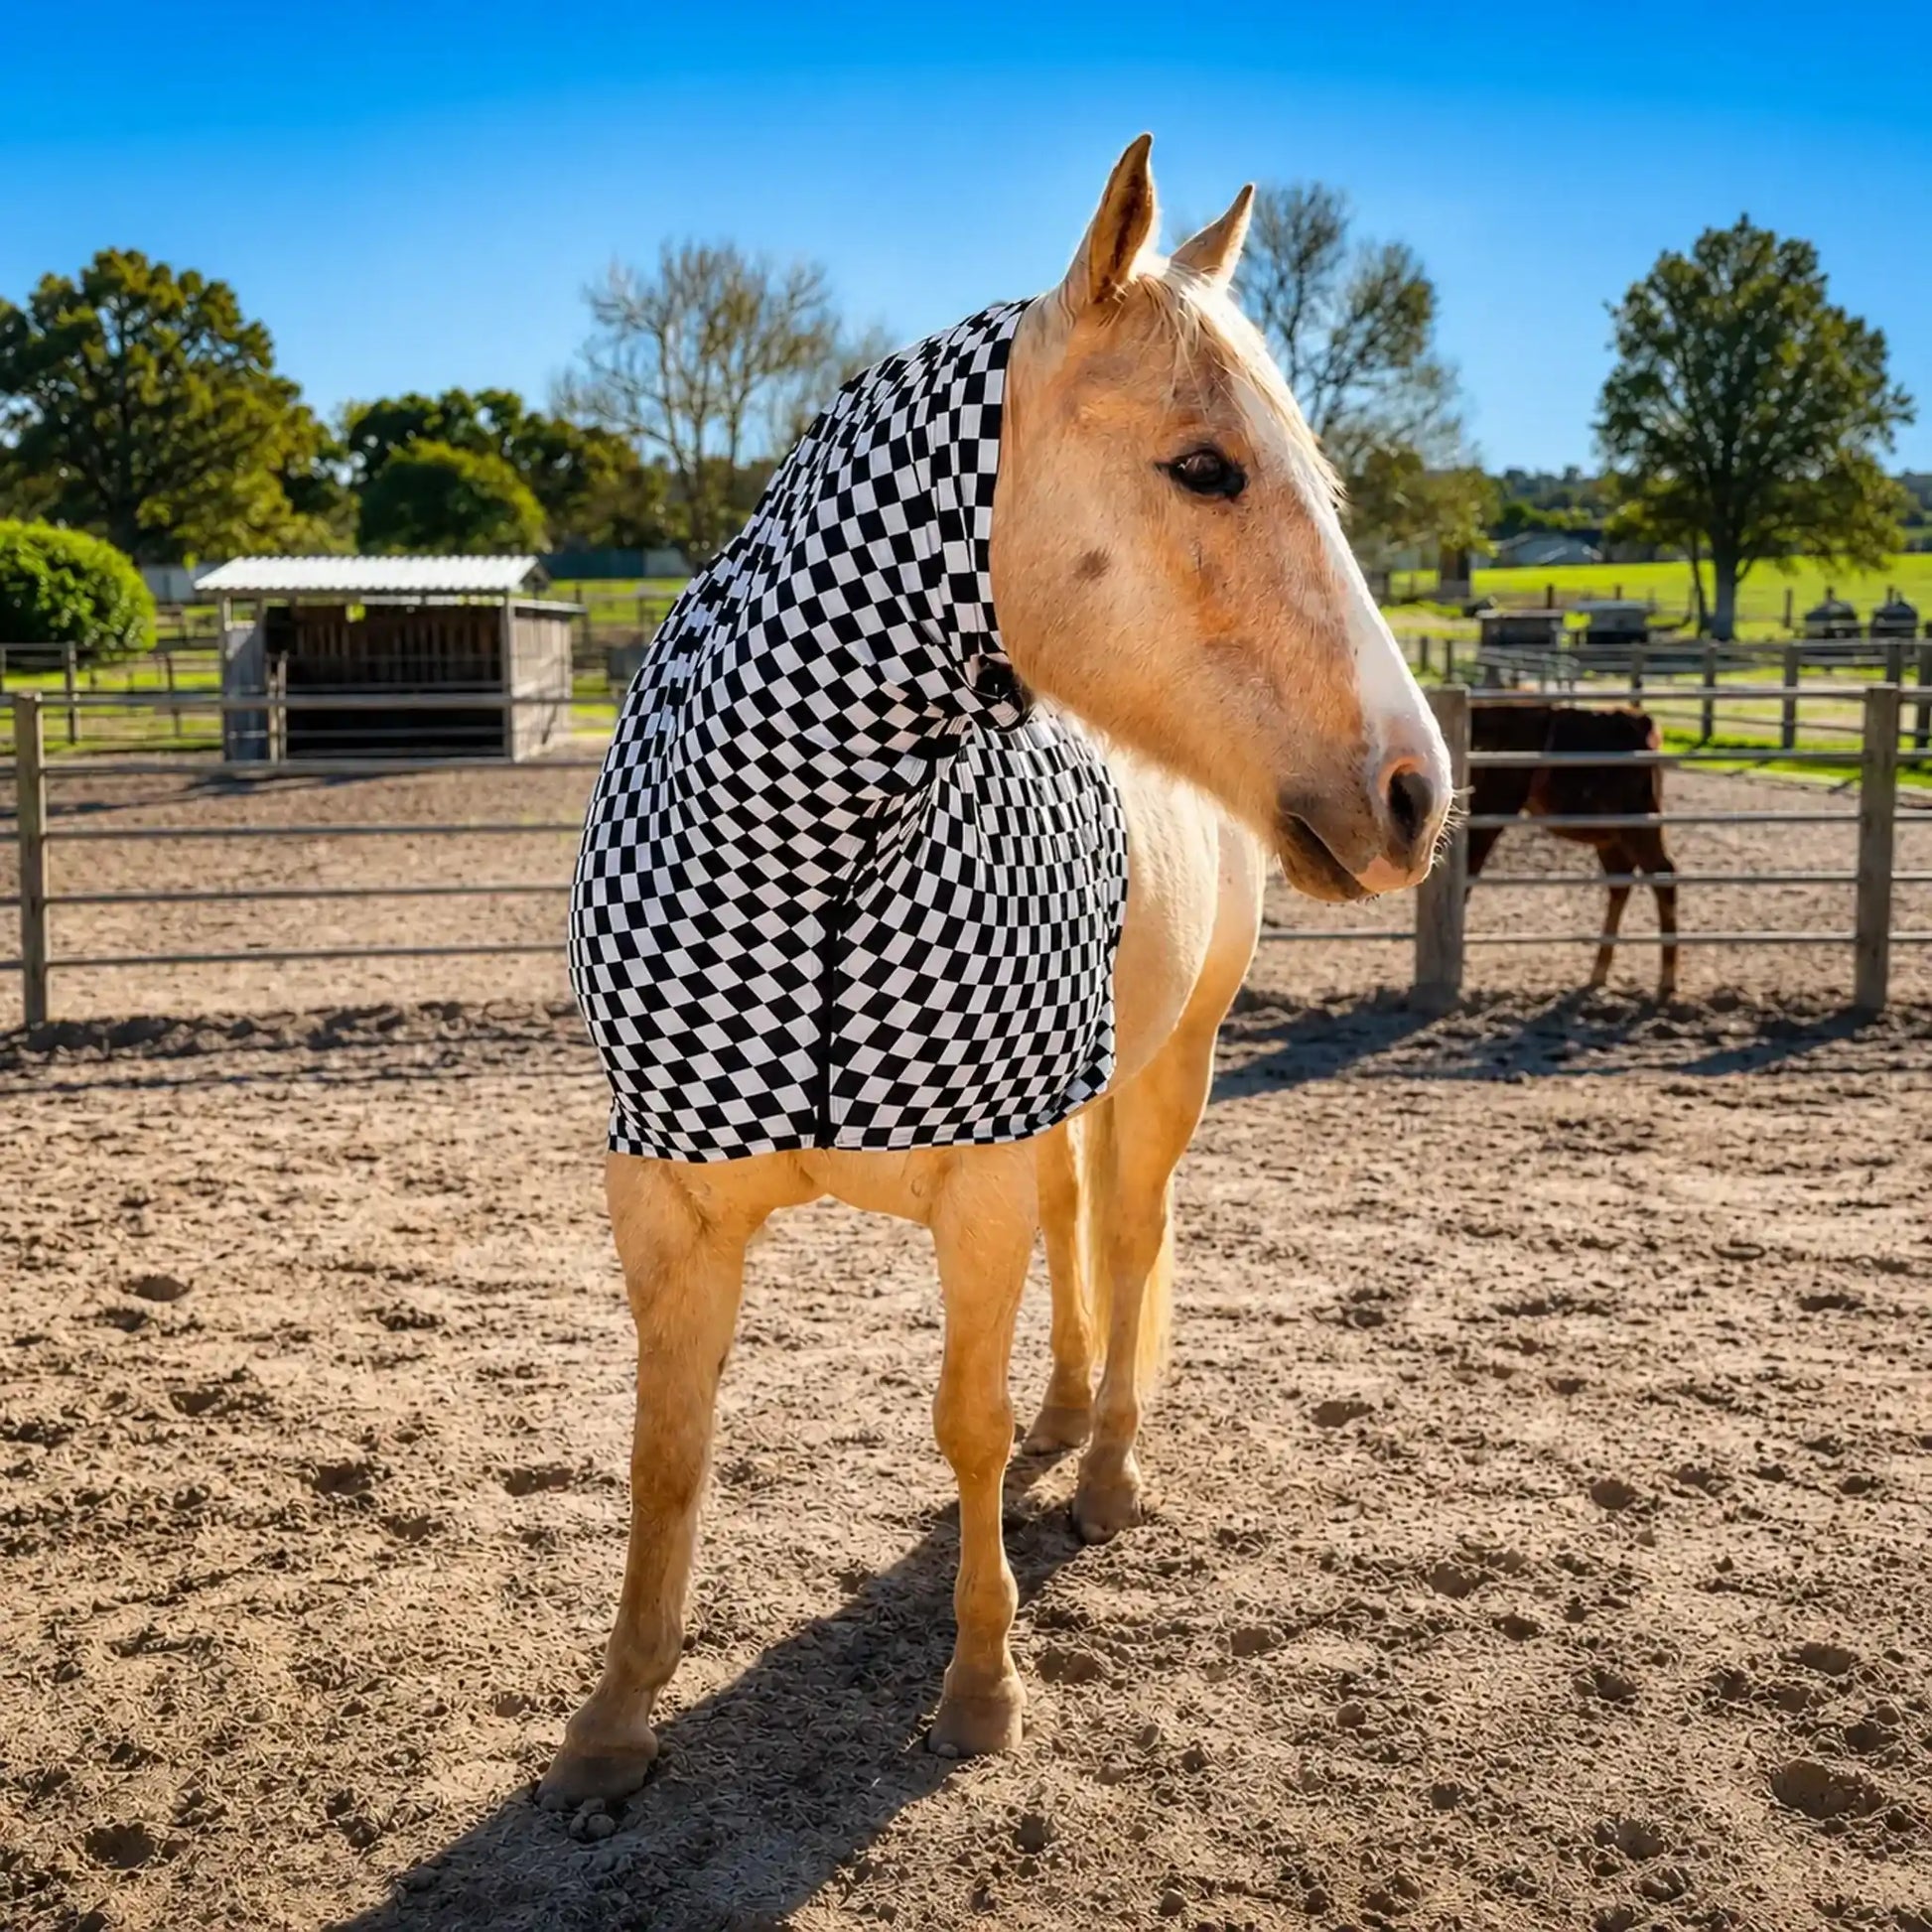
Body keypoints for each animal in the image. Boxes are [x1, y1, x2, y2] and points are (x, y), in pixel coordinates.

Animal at [539, 135, 1452, 1807]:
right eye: (1205, 467)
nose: (1413, 794)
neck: (819, 867)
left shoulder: (972, 1194)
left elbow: (963, 1427)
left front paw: (978, 1689)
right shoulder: (667, 1208)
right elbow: (666, 1447)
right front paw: (614, 1724)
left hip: (1170, 1069)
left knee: (1132, 1236)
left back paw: (1105, 1471)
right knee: (1083, 1229)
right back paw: (1075, 1409)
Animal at [1467, 702, 1679, 997]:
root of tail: (1642, 724)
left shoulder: (1488, 811)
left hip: (1637, 822)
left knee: (1662, 875)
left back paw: (1667, 979)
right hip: (1611, 835)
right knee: (1621, 883)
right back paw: (1599, 973)